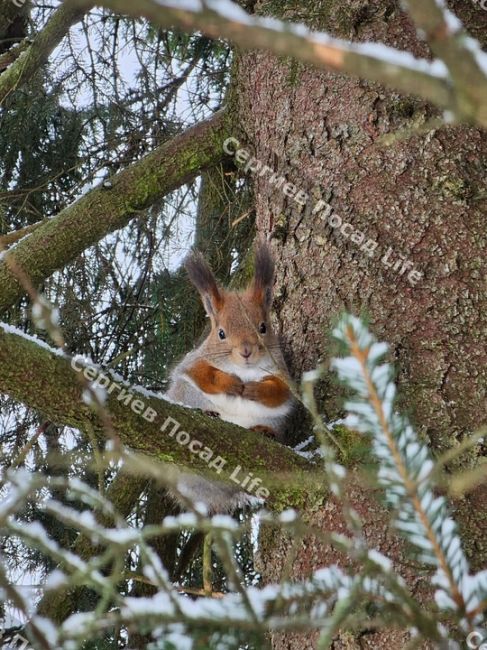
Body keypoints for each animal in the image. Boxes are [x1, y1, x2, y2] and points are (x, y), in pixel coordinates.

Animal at [166, 239, 296, 512]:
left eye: (263, 327)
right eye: (221, 333)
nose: (246, 351)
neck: (244, 370)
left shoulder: (282, 373)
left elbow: (280, 392)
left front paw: (255, 389)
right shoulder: (193, 362)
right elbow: (202, 374)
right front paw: (231, 383)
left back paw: (264, 431)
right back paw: (209, 413)